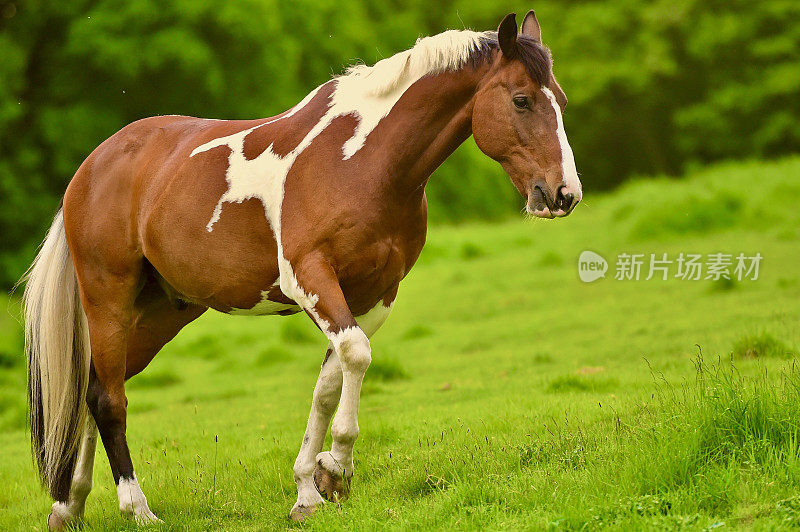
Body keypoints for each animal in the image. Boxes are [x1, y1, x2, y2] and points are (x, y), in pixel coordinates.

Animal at [21, 9, 580, 528]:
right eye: (521, 100)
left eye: (561, 100)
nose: (563, 194)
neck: (363, 163)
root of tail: (90, 168)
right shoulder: (310, 278)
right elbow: (356, 356)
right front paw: (339, 469)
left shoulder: (375, 293)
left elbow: (331, 381)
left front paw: (312, 487)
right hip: (109, 299)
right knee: (109, 400)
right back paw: (136, 508)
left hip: (163, 312)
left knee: (94, 389)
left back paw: (69, 505)